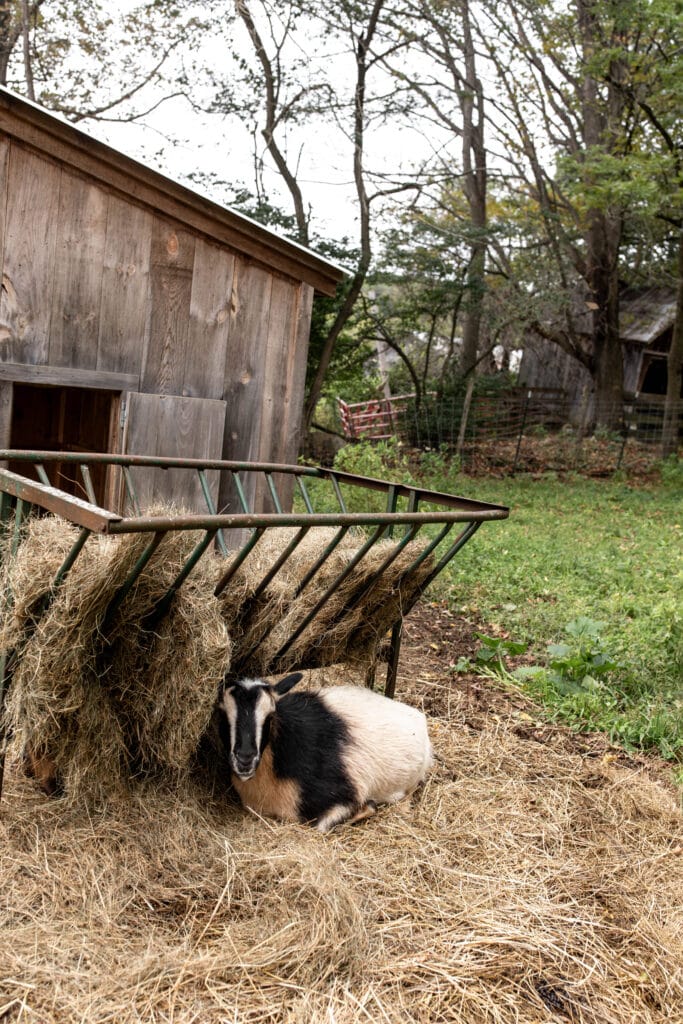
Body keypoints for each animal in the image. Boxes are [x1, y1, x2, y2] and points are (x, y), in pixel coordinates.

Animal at [220, 673, 432, 832]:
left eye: (270, 716)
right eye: (221, 714)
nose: (245, 759)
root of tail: (417, 717)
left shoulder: (344, 794)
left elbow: (324, 824)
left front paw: (367, 807)